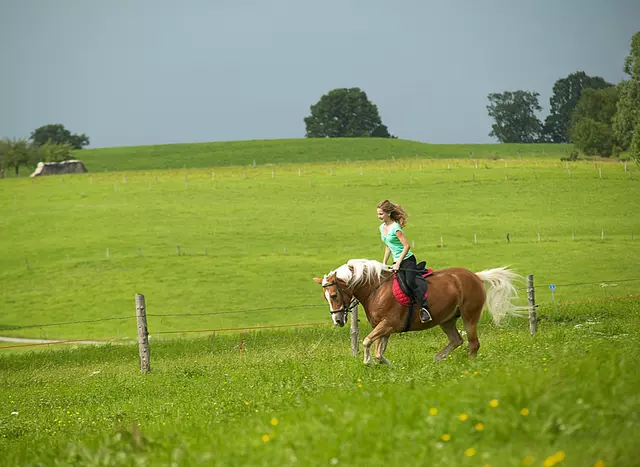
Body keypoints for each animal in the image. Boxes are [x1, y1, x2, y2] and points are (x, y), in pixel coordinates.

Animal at [312, 260, 528, 366]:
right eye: (326, 297)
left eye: (334, 295)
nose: (337, 320)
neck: (375, 288)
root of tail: (475, 276)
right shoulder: (385, 328)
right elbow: (379, 352)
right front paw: (388, 366)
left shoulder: (388, 324)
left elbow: (366, 342)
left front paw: (367, 362)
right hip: (447, 319)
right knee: (456, 340)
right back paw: (437, 360)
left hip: (470, 316)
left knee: (473, 343)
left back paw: (470, 367)